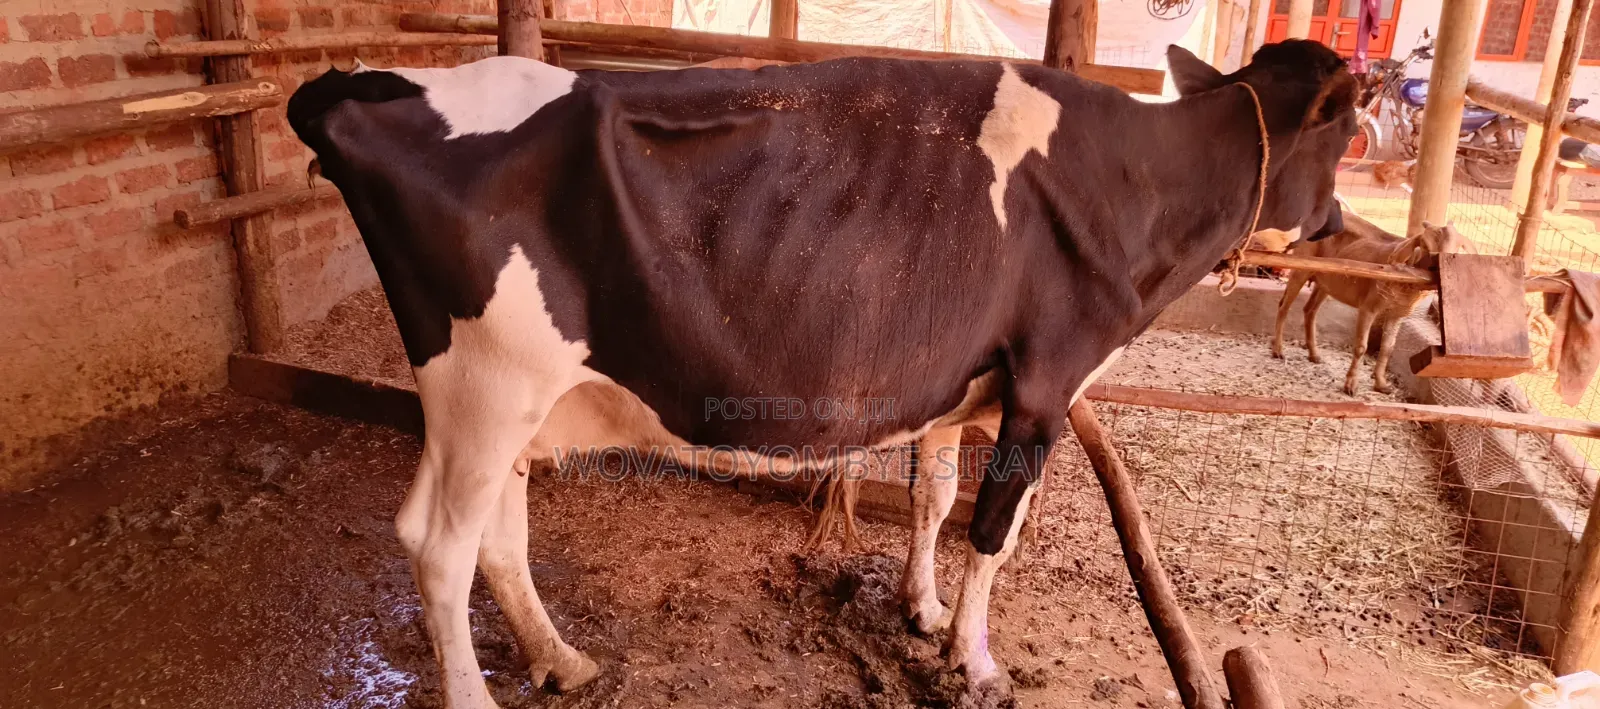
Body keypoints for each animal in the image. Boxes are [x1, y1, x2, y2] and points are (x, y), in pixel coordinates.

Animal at [287, 40, 1357, 707]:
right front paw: (975, 663)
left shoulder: (957, 381)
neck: (1140, 181)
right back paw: (483, 689)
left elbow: (934, 496)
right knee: (437, 545)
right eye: (1348, 129)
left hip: (509, 400)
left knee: (497, 538)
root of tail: (367, 86)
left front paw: (922, 610)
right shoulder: (1047, 380)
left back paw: (561, 659)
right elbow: (994, 533)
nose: (1339, 224)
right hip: (485, 384)